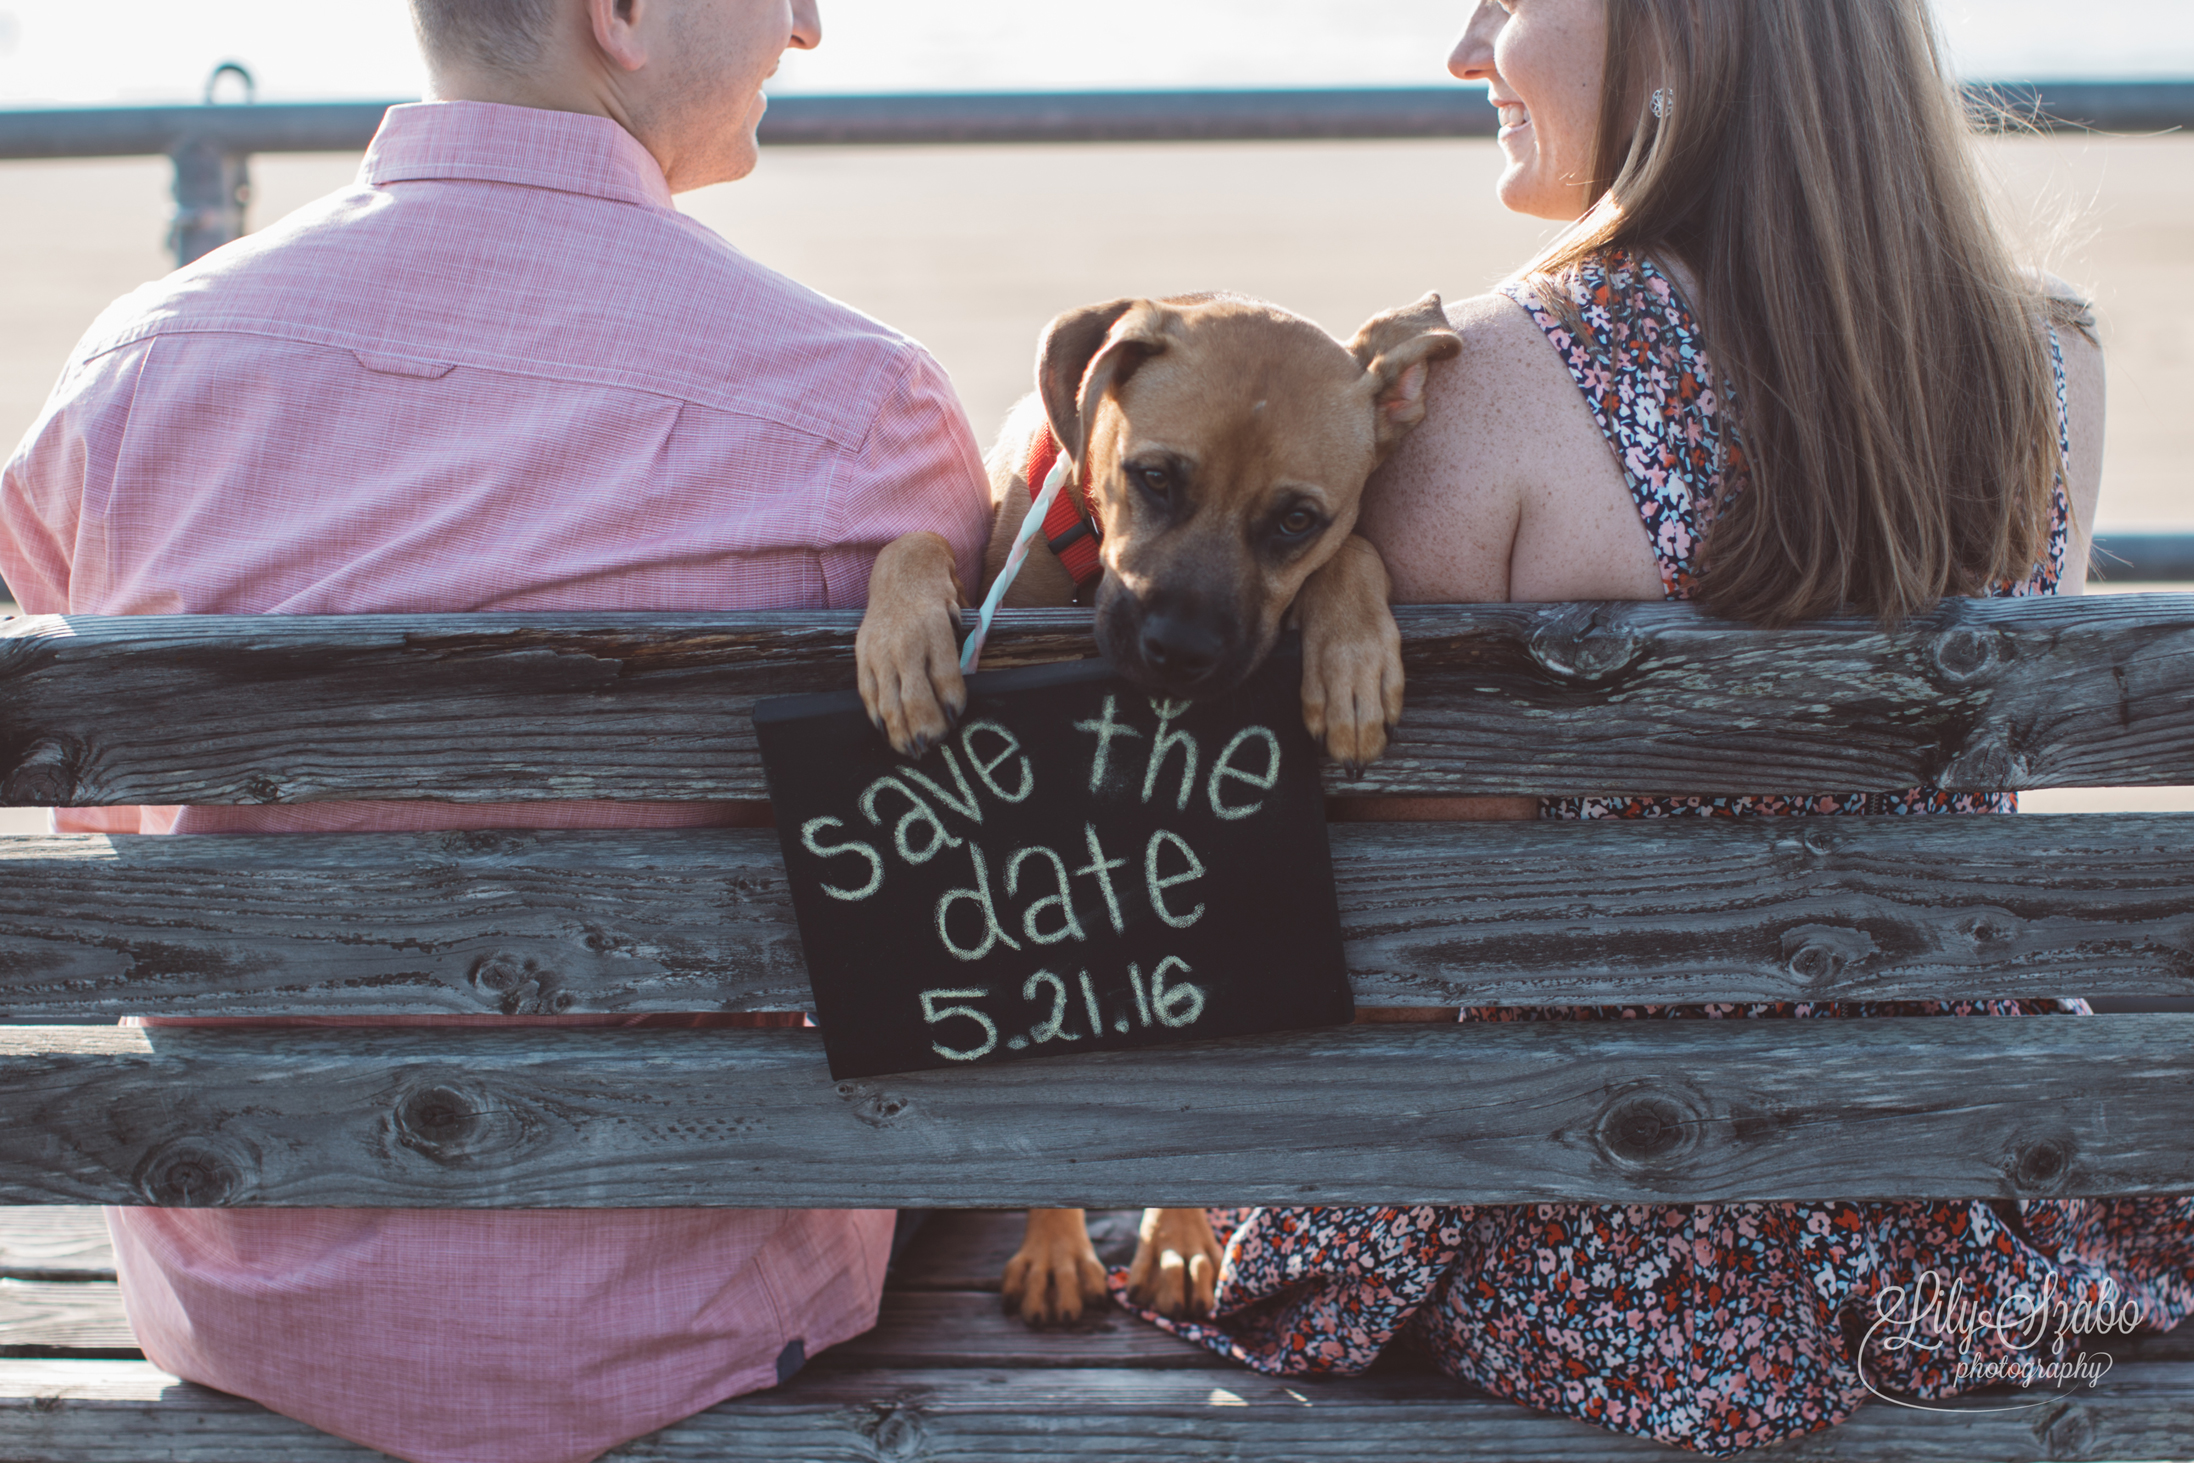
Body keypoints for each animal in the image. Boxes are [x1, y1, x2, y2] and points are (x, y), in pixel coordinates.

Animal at [855, 291, 1456, 1324]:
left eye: (1297, 520)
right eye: (1156, 478)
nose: (1178, 651)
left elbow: (1354, 553)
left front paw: (1350, 645)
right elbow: (915, 541)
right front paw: (900, 634)